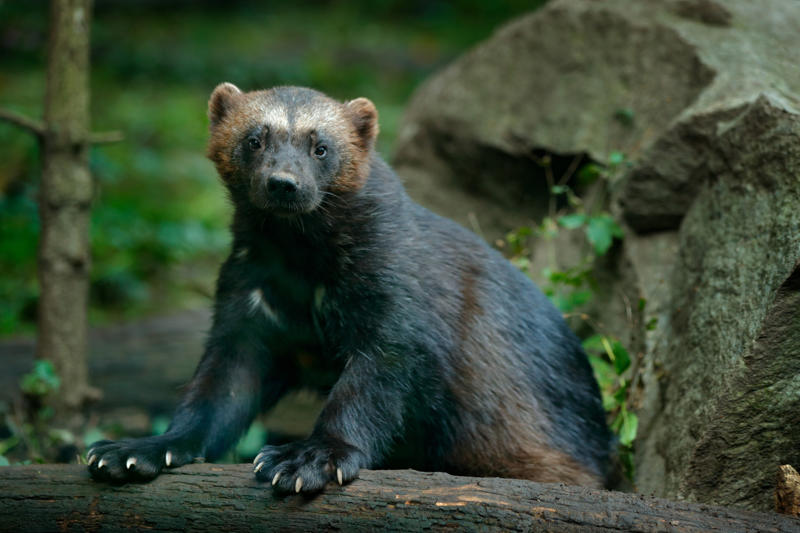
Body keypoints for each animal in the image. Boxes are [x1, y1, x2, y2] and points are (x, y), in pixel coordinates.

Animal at [87, 84, 612, 493]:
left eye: (321, 146)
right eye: (254, 139)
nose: (283, 182)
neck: (305, 273)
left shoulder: (398, 311)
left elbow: (367, 393)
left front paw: (308, 459)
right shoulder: (249, 307)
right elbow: (215, 397)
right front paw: (135, 450)